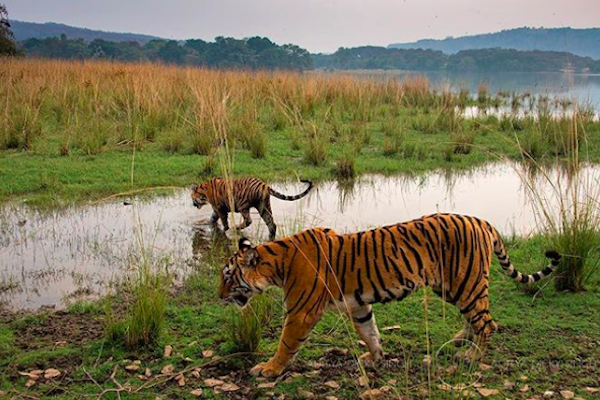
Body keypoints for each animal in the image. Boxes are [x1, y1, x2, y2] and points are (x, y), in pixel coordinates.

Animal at [218, 214, 560, 376]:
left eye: (228, 276)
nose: (220, 296)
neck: (277, 263)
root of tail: (481, 220)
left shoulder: (301, 312)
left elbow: (286, 344)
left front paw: (269, 369)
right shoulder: (358, 306)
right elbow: (369, 332)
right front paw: (375, 358)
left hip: (466, 283)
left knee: (488, 324)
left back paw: (471, 356)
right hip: (454, 287)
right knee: (475, 319)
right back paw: (459, 342)